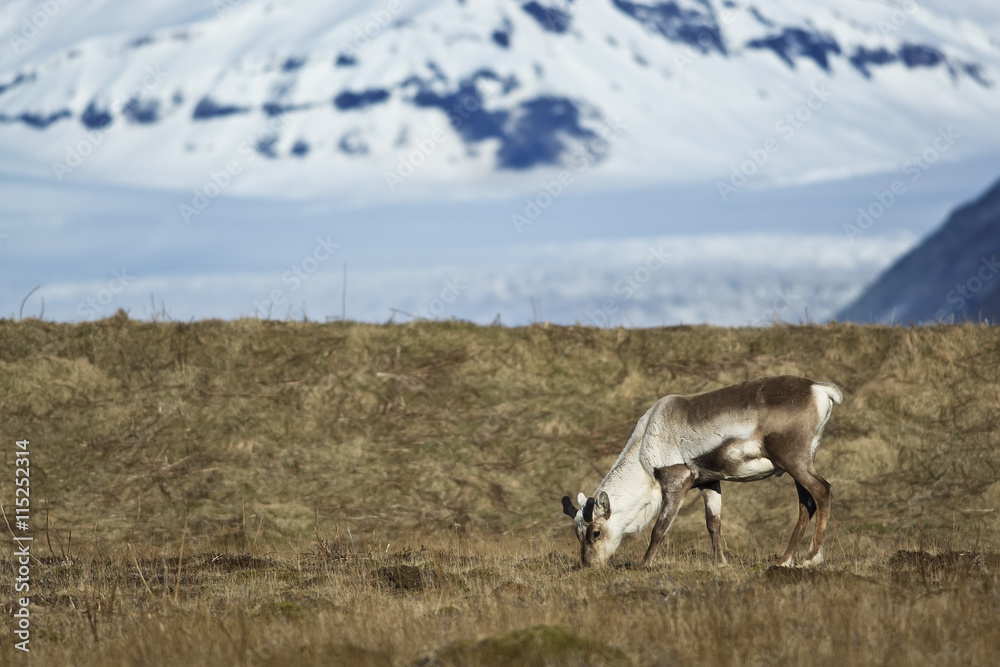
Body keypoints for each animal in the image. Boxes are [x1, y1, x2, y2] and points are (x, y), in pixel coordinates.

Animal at [561, 375, 843, 568]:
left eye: (595, 532)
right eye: (577, 534)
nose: (590, 566)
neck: (643, 453)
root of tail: (819, 388)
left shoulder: (677, 481)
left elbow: (659, 528)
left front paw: (644, 564)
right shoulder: (709, 482)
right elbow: (713, 524)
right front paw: (720, 563)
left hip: (794, 459)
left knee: (823, 491)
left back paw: (811, 558)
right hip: (797, 463)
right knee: (806, 503)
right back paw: (783, 560)